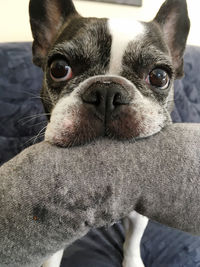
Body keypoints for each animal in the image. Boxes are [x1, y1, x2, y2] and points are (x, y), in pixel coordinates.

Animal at [28, 0, 190, 266]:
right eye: (59, 68)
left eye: (159, 76)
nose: (106, 91)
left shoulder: (138, 216)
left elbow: (132, 242)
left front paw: (132, 261)